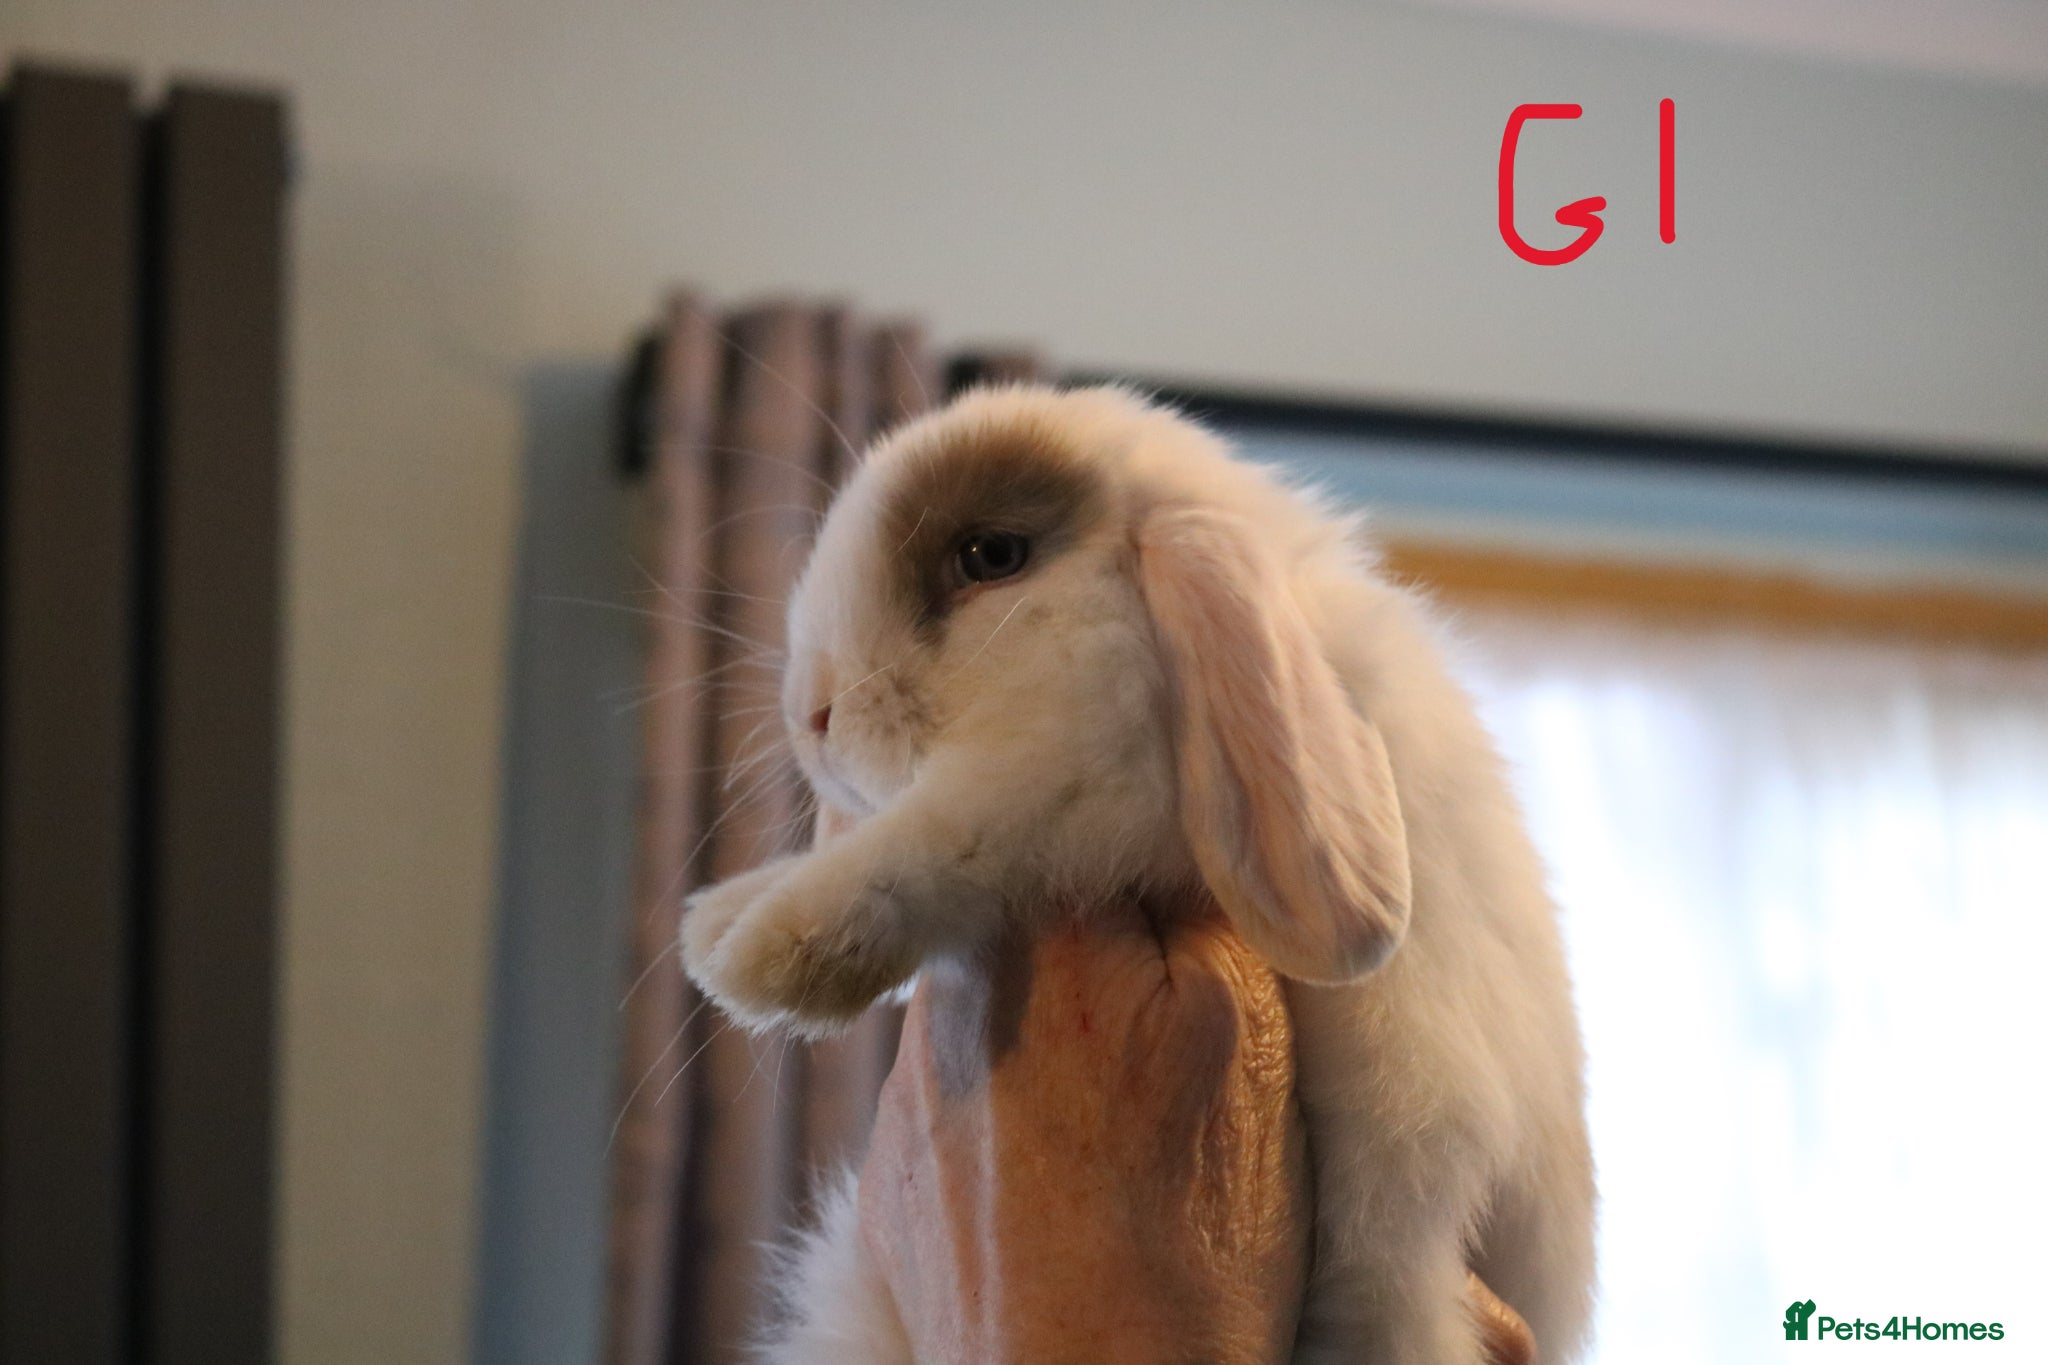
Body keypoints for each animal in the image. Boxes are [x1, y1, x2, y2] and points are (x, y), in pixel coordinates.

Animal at [679, 384, 1596, 1364]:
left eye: (991, 555)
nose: (809, 713)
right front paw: (717, 919)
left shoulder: (1060, 794)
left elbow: (934, 842)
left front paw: (759, 957)